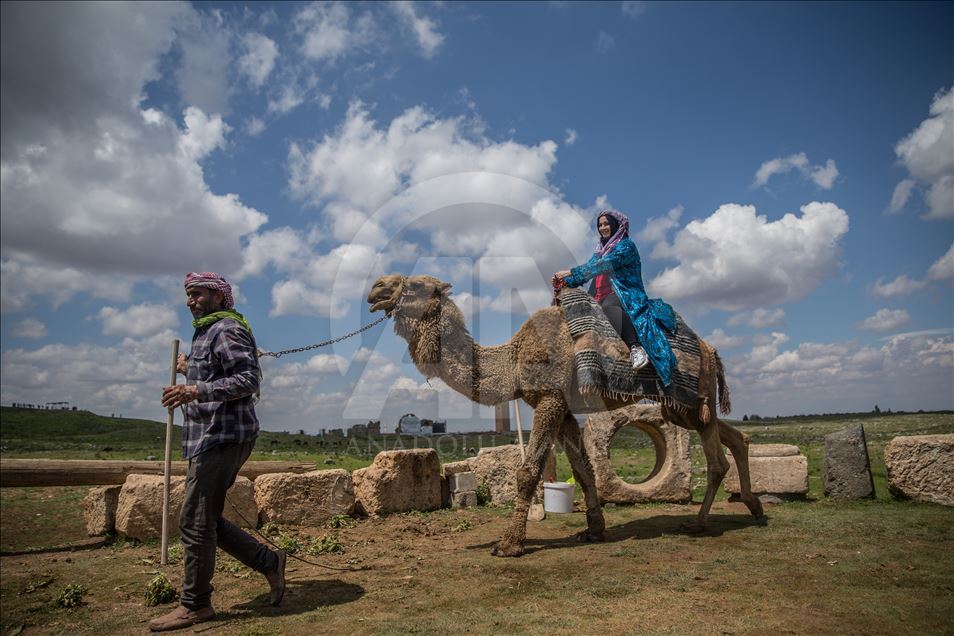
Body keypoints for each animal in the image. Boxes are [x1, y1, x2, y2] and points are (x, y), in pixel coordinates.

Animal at [368, 274, 764, 556]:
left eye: (416, 285)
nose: (375, 289)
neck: (512, 359)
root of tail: (710, 349)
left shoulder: (549, 398)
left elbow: (528, 471)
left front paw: (509, 544)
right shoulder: (564, 406)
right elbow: (583, 468)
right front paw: (594, 530)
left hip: (690, 396)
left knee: (716, 459)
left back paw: (699, 524)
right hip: (682, 406)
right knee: (734, 436)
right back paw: (754, 506)